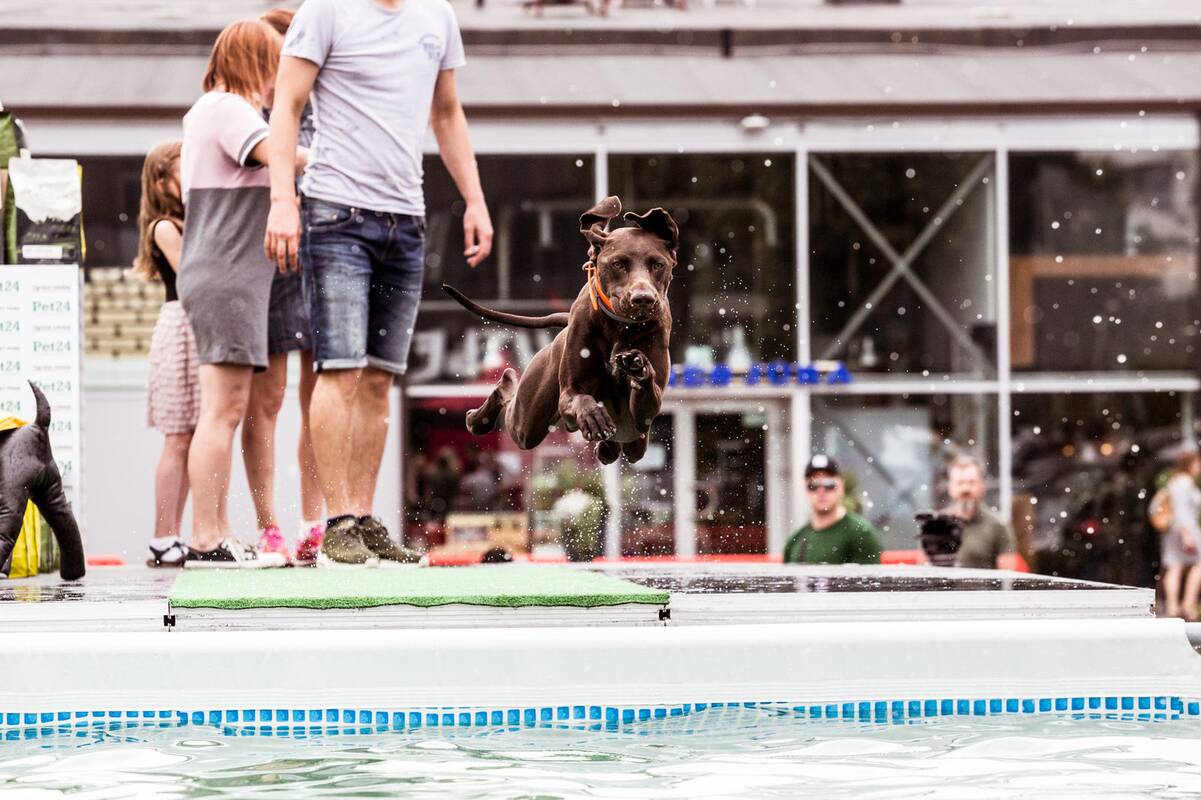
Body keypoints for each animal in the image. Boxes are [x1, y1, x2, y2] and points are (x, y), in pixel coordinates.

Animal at [0, 381, 85, 579]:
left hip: (12, 490)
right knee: (68, 526)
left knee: (5, 536)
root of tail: (38, 427)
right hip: (50, 491)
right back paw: (73, 574)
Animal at [442, 195, 676, 465]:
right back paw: (482, 412)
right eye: (618, 263)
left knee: (629, 447)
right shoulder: (568, 393)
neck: (619, 326)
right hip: (529, 420)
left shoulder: (646, 412)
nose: (643, 299)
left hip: (634, 439)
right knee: (510, 400)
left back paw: (607, 448)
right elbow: (580, 397)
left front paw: (638, 366)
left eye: (658, 265)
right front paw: (593, 415)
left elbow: (646, 397)